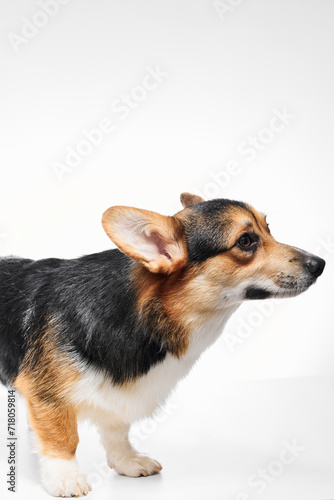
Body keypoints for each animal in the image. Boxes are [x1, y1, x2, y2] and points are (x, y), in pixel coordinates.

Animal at [0, 192, 324, 496]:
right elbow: (63, 438)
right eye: (245, 241)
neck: (142, 313)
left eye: (268, 229)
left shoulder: (115, 394)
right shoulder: (48, 396)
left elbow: (117, 430)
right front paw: (66, 478)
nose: (320, 264)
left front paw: (127, 461)